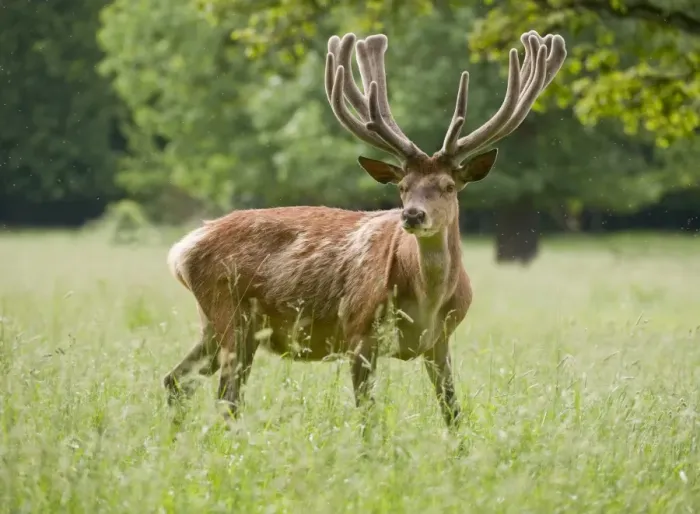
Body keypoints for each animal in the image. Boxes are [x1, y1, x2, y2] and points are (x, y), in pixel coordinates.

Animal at [162, 29, 567, 429]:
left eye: (449, 186)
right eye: (402, 187)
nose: (412, 216)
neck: (426, 303)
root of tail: (183, 249)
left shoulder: (439, 342)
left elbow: (452, 412)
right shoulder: (359, 332)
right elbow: (368, 419)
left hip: (213, 324)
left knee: (176, 380)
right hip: (232, 317)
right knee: (225, 399)